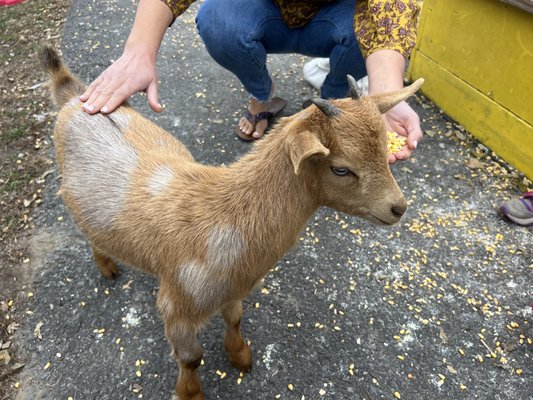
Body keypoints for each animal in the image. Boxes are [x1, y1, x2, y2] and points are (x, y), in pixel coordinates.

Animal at [41, 45, 422, 398]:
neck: (227, 216)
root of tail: (73, 95)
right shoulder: (176, 306)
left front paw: (241, 357)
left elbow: (235, 319)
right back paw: (107, 267)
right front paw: (190, 393)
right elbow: (191, 357)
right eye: (341, 169)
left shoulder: (234, 288)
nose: (398, 208)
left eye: (385, 148)